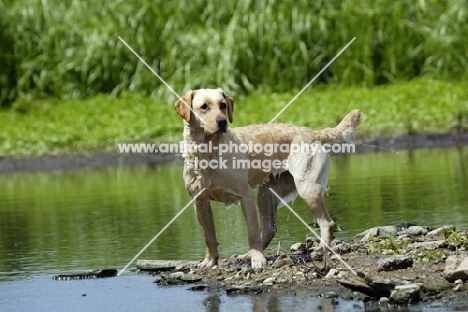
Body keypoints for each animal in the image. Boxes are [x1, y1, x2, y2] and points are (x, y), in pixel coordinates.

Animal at [174, 88, 360, 268]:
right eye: (204, 107)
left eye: (223, 105)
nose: (222, 121)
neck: (208, 151)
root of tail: (311, 131)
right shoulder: (200, 203)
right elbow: (209, 237)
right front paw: (210, 261)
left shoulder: (246, 196)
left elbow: (253, 232)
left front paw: (258, 260)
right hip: (267, 193)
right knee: (271, 228)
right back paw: (247, 254)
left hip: (307, 188)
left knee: (327, 223)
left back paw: (320, 250)